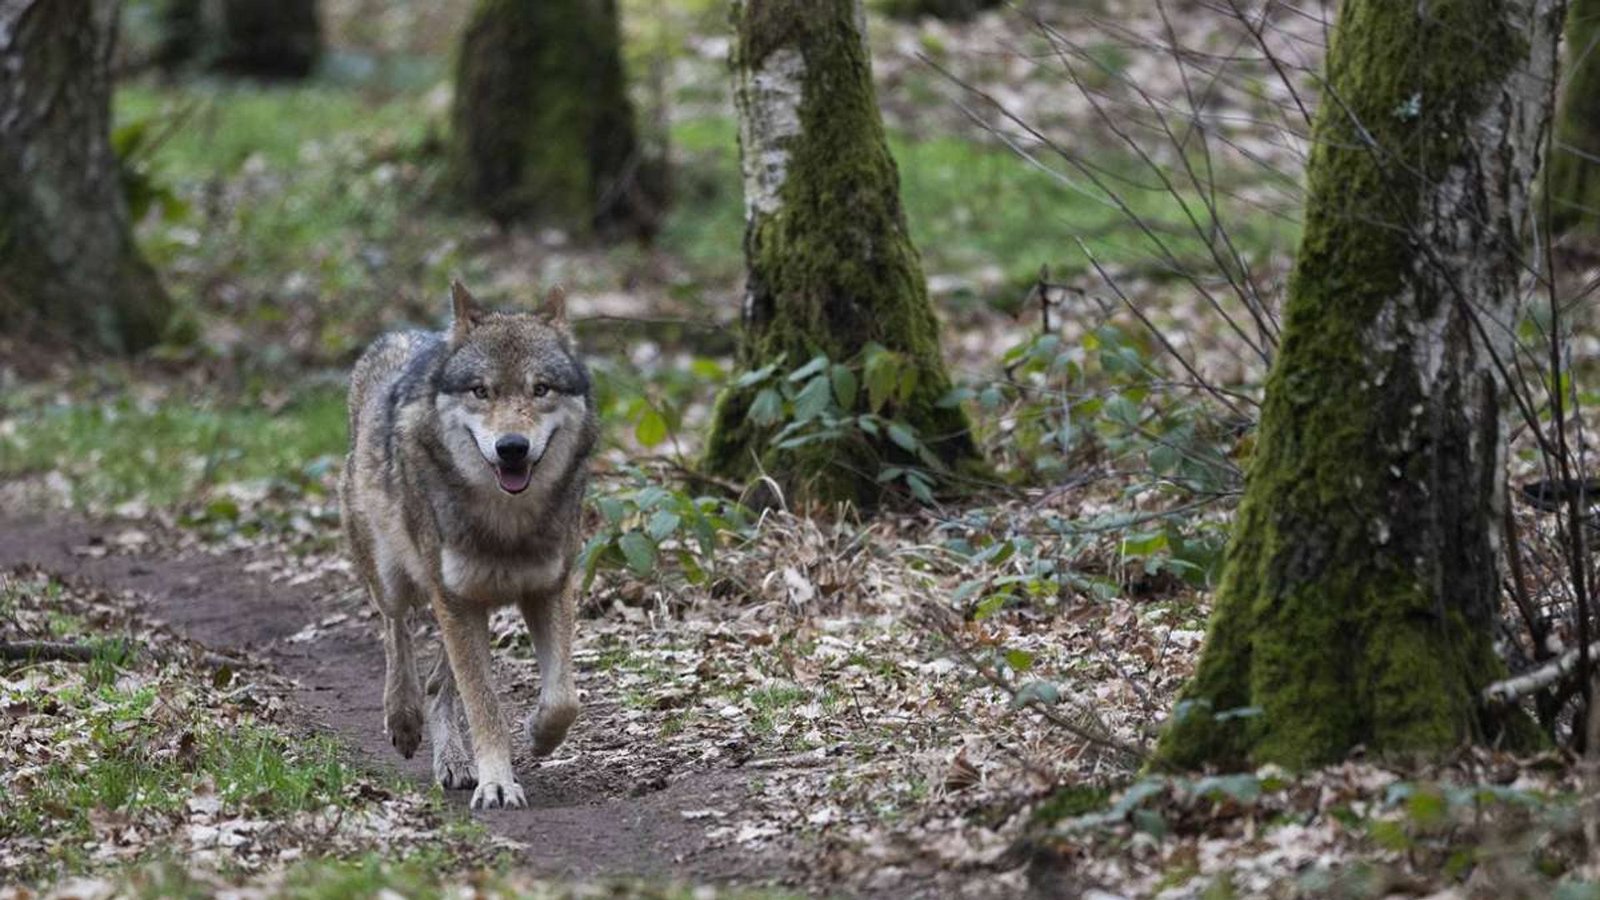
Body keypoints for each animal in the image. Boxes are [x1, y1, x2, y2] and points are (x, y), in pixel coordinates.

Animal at [339, 280, 598, 810]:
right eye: (482, 391)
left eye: (540, 389)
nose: (512, 447)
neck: (507, 522)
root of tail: (398, 334)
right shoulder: (455, 598)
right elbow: (484, 705)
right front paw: (497, 783)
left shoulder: (548, 589)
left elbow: (563, 698)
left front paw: (539, 734)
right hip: (399, 580)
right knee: (395, 630)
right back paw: (403, 718)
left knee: (440, 680)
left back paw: (454, 763)